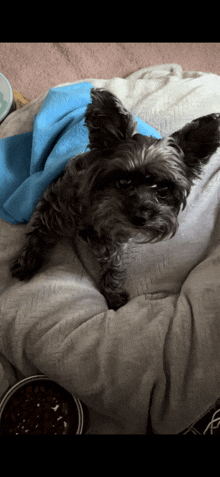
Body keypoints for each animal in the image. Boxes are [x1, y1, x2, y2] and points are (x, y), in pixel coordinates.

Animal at [9, 88, 220, 310]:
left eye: (163, 189)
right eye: (123, 181)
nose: (140, 218)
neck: (95, 210)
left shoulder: (114, 241)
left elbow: (114, 266)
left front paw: (114, 292)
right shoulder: (50, 208)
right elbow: (36, 234)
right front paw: (26, 263)